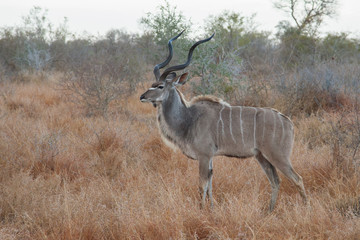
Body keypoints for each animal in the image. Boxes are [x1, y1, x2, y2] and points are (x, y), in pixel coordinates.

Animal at [139, 31, 308, 211]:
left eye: (160, 86)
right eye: (152, 83)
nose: (142, 96)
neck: (189, 118)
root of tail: (288, 122)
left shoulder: (204, 156)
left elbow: (202, 186)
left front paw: (202, 210)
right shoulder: (210, 158)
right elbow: (210, 186)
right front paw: (211, 209)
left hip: (278, 156)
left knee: (297, 179)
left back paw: (306, 208)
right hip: (262, 156)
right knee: (275, 180)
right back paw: (269, 211)